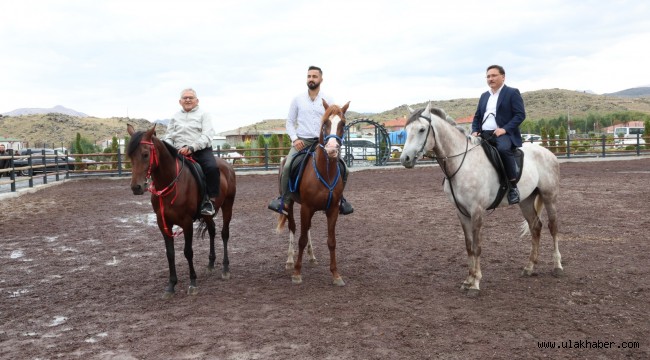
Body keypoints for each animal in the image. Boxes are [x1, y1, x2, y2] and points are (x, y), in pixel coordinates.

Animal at [124, 124, 235, 298]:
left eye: (145, 154)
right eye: (130, 156)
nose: (136, 187)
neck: (171, 183)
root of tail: (228, 166)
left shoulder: (186, 222)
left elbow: (188, 252)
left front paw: (193, 282)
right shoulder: (163, 223)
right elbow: (170, 253)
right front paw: (171, 285)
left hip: (228, 205)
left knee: (224, 234)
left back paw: (225, 268)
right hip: (207, 214)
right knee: (212, 231)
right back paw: (210, 264)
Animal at [274, 100, 350, 286]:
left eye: (343, 124)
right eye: (326, 123)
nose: (332, 149)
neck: (325, 171)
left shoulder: (332, 210)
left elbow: (331, 241)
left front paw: (336, 275)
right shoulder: (306, 208)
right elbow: (300, 239)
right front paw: (297, 273)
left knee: (307, 228)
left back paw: (312, 255)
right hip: (291, 204)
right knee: (293, 228)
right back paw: (290, 260)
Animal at [398, 102, 560, 296]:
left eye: (422, 129)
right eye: (406, 130)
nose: (405, 159)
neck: (461, 163)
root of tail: (548, 152)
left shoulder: (477, 211)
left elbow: (477, 246)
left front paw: (475, 284)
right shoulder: (461, 212)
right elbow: (469, 246)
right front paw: (468, 280)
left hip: (549, 196)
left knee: (553, 227)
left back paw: (557, 266)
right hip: (526, 201)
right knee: (536, 227)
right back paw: (529, 267)